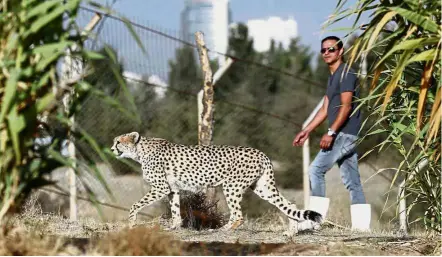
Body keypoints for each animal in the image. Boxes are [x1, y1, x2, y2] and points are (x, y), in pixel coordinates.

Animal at [110, 131, 322, 235]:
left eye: (118, 142)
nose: (111, 149)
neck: (140, 151)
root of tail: (261, 153)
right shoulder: (172, 189)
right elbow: (175, 210)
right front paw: (174, 227)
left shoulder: (160, 187)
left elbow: (135, 205)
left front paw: (131, 222)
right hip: (262, 187)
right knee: (290, 204)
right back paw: (291, 232)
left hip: (231, 186)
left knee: (238, 215)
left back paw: (222, 230)